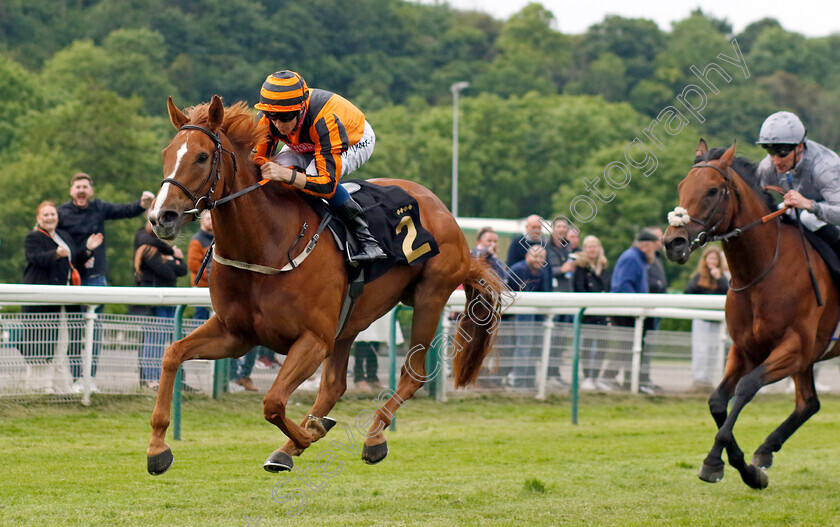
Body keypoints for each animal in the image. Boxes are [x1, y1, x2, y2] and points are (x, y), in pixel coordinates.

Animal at [143, 96, 506, 478]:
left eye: (201, 157)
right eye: (167, 153)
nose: (161, 217)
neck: (268, 243)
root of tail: (444, 212)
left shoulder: (313, 339)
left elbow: (273, 402)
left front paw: (311, 433)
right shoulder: (236, 334)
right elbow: (172, 354)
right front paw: (157, 449)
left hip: (430, 296)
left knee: (413, 375)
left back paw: (372, 438)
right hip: (350, 320)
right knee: (334, 385)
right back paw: (292, 445)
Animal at [664, 142, 840, 488]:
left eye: (712, 190)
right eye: (681, 186)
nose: (672, 243)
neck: (762, 272)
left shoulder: (794, 348)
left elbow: (746, 387)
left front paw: (713, 461)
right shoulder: (746, 348)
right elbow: (718, 400)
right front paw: (746, 469)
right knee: (808, 403)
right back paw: (766, 450)